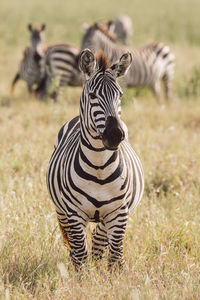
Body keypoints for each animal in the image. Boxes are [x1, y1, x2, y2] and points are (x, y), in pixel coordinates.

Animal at [46, 49, 144, 270]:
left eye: (120, 95)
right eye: (92, 96)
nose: (115, 135)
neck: (99, 166)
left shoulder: (119, 212)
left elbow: (115, 256)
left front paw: (110, 276)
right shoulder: (74, 213)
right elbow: (81, 254)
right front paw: (83, 277)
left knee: (100, 238)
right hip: (62, 211)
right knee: (76, 245)